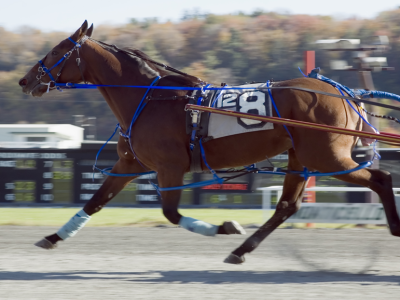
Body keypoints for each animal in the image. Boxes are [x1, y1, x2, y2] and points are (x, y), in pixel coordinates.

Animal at [18, 21, 400, 264]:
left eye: (57, 50)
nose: (25, 80)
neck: (151, 98)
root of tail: (343, 92)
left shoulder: (170, 166)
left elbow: (171, 213)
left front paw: (225, 226)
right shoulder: (132, 163)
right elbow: (95, 202)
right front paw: (53, 237)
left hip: (327, 157)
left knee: (381, 179)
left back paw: (395, 227)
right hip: (302, 157)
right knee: (286, 207)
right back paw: (241, 251)